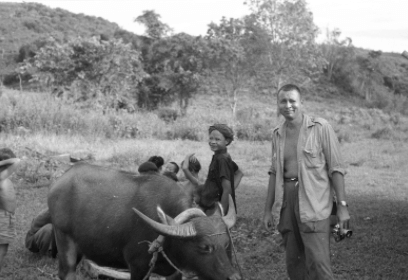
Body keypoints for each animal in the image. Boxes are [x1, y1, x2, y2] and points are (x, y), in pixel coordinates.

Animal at [48, 163, 241, 278]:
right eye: (204, 247)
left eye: (226, 244)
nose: (233, 277)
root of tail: (59, 183)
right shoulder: (138, 268)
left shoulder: (174, 273)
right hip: (64, 240)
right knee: (66, 272)